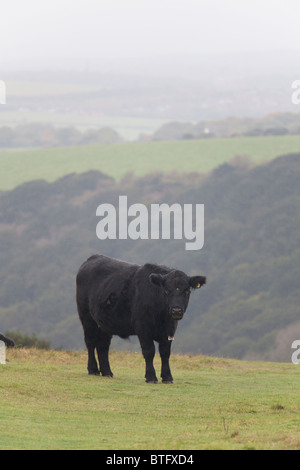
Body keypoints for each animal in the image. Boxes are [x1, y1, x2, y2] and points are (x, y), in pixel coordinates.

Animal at [76, 255, 205, 384]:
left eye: (187, 291)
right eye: (166, 290)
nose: (176, 311)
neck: (162, 318)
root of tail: (93, 257)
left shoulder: (169, 330)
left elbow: (165, 353)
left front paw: (167, 377)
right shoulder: (143, 328)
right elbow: (149, 351)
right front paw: (151, 377)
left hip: (104, 323)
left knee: (103, 345)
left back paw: (107, 372)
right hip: (87, 319)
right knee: (90, 342)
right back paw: (93, 370)